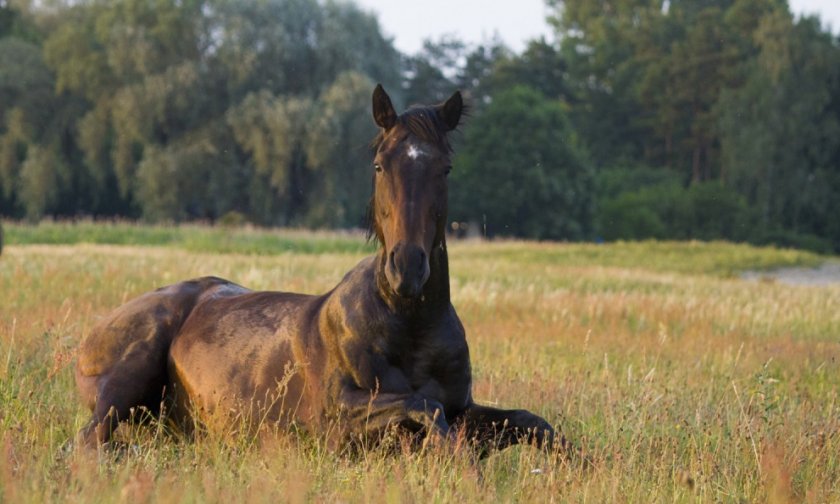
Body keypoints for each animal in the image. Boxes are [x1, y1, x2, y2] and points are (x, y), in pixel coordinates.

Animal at [75, 84, 560, 454]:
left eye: (445, 168)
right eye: (380, 165)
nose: (407, 269)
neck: (409, 323)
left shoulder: (465, 408)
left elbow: (533, 423)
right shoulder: (336, 422)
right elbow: (425, 409)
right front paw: (457, 461)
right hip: (126, 381)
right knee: (90, 440)